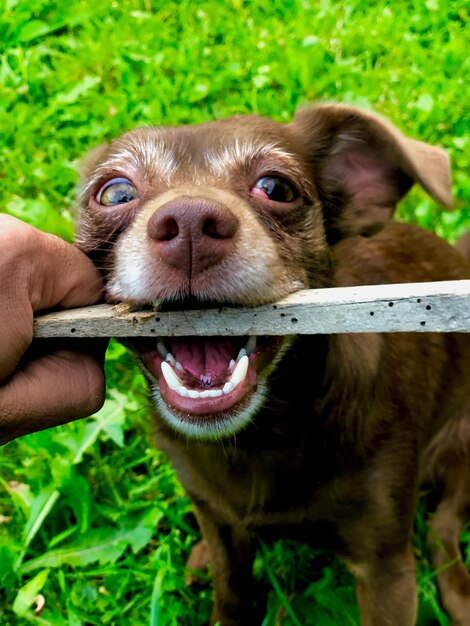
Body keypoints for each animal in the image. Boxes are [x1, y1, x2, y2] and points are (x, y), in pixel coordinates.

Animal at [74, 105, 470, 620]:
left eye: (277, 188)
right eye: (115, 192)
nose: (189, 221)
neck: (254, 440)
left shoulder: (387, 572)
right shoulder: (221, 530)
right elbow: (232, 591)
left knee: (443, 526)